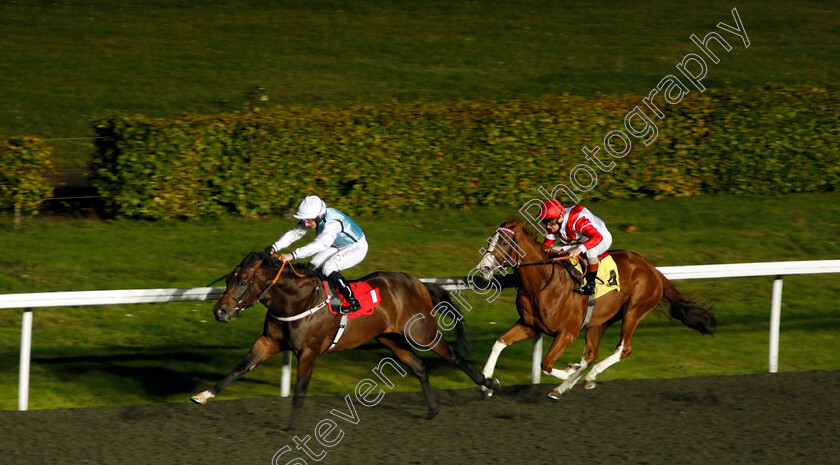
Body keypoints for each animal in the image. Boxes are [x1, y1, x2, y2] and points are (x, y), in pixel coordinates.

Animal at [190, 250, 498, 428]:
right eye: (228, 279)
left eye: (243, 282)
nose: (220, 311)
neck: (296, 301)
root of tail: (419, 283)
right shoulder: (268, 341)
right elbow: (240, 368)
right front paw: (204, 394)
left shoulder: (309, 351)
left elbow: (300, 390)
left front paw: (291, 427)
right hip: (388, 338)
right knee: (419, 366)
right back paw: (433, 410)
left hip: (421, 332)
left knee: (454, 357)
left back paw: (488, 383)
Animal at [476, 221, 712, 398]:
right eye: (489, 241)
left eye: (504, 242)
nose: (483, 269)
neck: (542, 282)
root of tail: (653, 269)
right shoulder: (530, 325)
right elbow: (499, 343)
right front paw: (487, 382)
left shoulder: (567, 332)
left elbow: (546, 364)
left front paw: (570, 371)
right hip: (600, 320)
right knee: (590, 353)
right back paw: (567, 385)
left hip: (634, 310)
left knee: (623, 348)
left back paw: (588, 376)